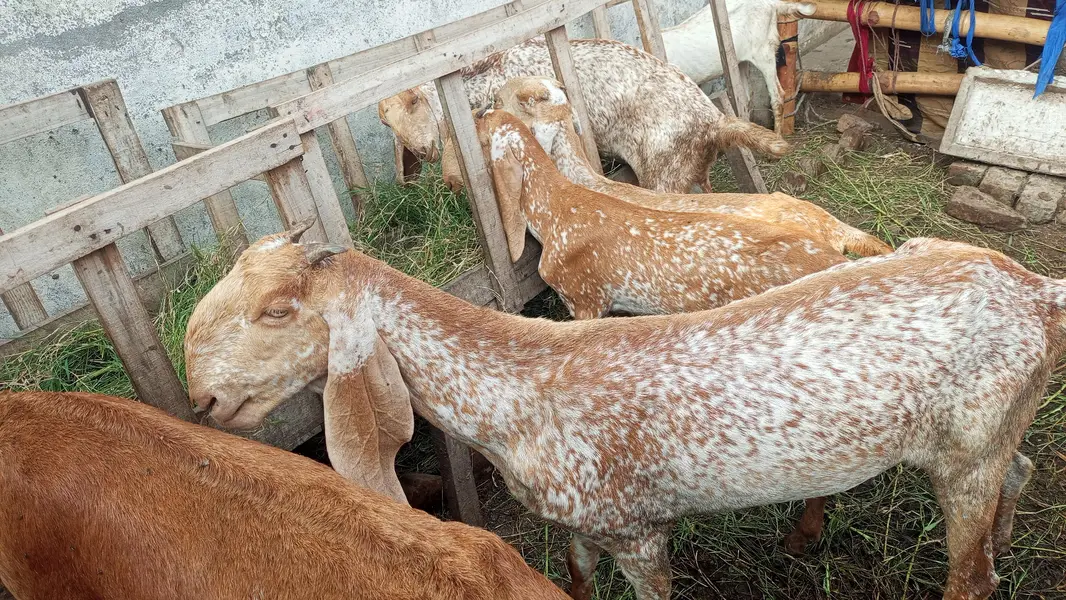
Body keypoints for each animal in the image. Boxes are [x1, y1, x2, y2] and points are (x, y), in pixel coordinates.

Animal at [185, 226, 1061, 600]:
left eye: (278, 309)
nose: (202, 397)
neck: (519, 390)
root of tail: (1038, 294)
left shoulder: (639, 531)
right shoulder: (580, 518)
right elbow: (575, 574)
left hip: (965, 454)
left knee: (973, 578)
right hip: (992, 435)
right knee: (1021, 468)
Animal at [377, 37, 789, 194]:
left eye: (413, 102)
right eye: (387, 124)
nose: (424, 151)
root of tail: (713, 122)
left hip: (664, 175)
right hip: (692, 173)